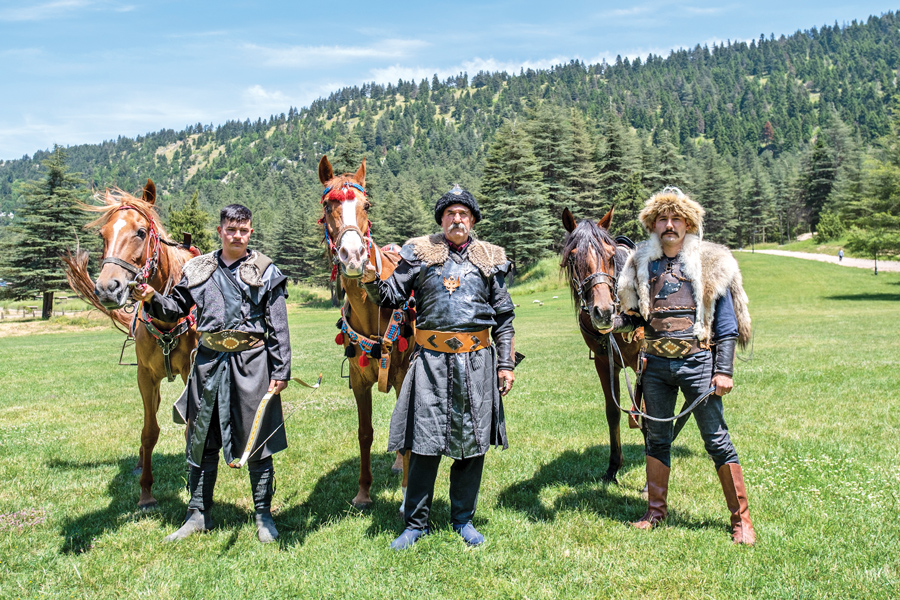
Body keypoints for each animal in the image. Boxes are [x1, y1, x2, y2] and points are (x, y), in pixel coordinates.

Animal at [61, 180, 199, 508]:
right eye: (103, 235)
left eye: (140, 231)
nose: (107, 288)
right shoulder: (145, 376)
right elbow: (149, 431)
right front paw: (146, 491)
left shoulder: (190, 372)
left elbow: (190, 426)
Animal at [316, 156, 414, 510]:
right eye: (328, 205)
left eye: (366, 205)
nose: (354, 256)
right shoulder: (359, 382)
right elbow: (364, 432)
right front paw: (363, 492)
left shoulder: (404, 372)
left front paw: (406, 492)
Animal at [560, 209, 644, 486]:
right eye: (573, 259)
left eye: (609, 256)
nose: (604, 311)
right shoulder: (603, 362)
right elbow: (613, 412)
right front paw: (613, 467)